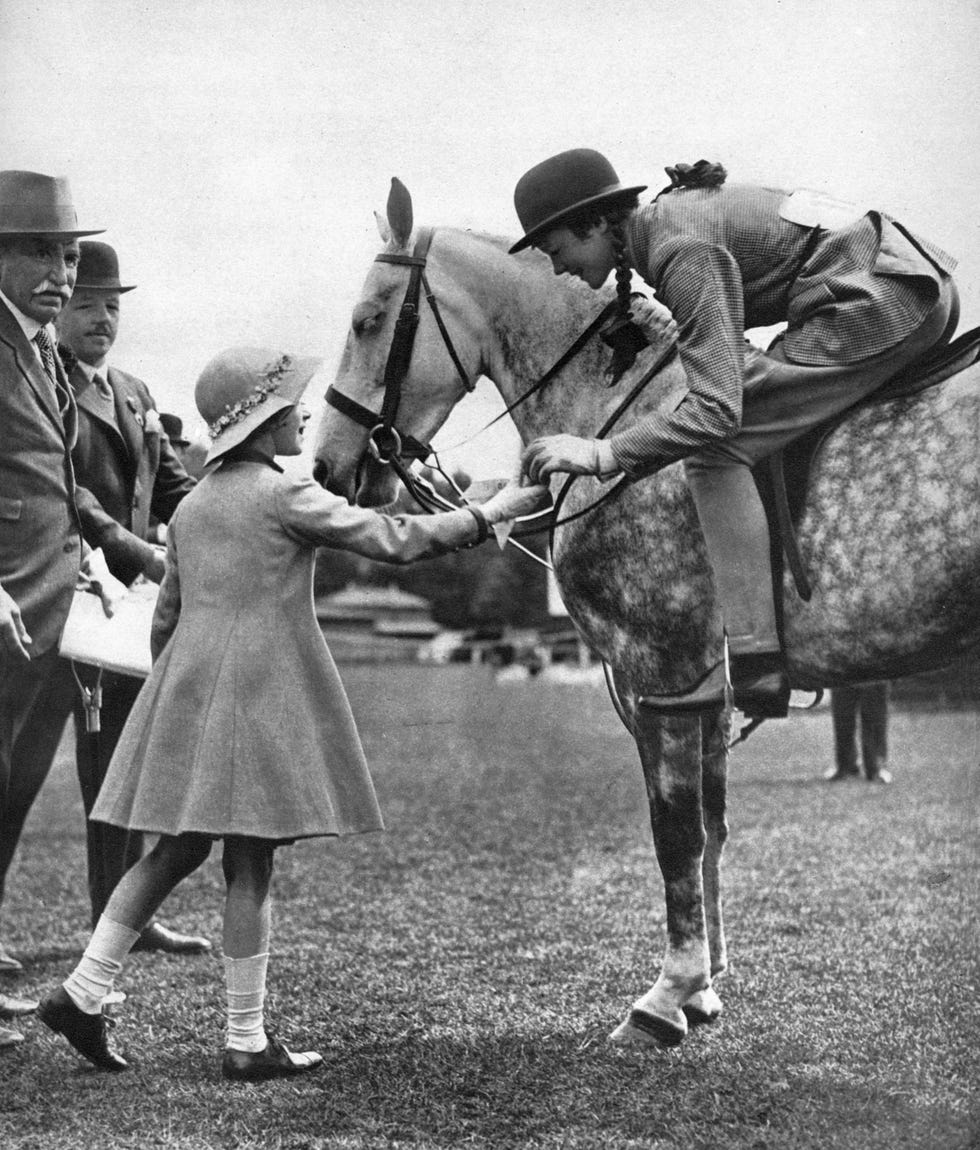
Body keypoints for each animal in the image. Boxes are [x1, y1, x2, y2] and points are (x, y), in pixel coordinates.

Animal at [312, 181, 979, 1053]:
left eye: (366, 320)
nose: (326, 466)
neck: (623, 411)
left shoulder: (659, 681)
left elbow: (677, 836)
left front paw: (666, 998)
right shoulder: (702, 695)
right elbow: (711, 831)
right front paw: (705, 989)